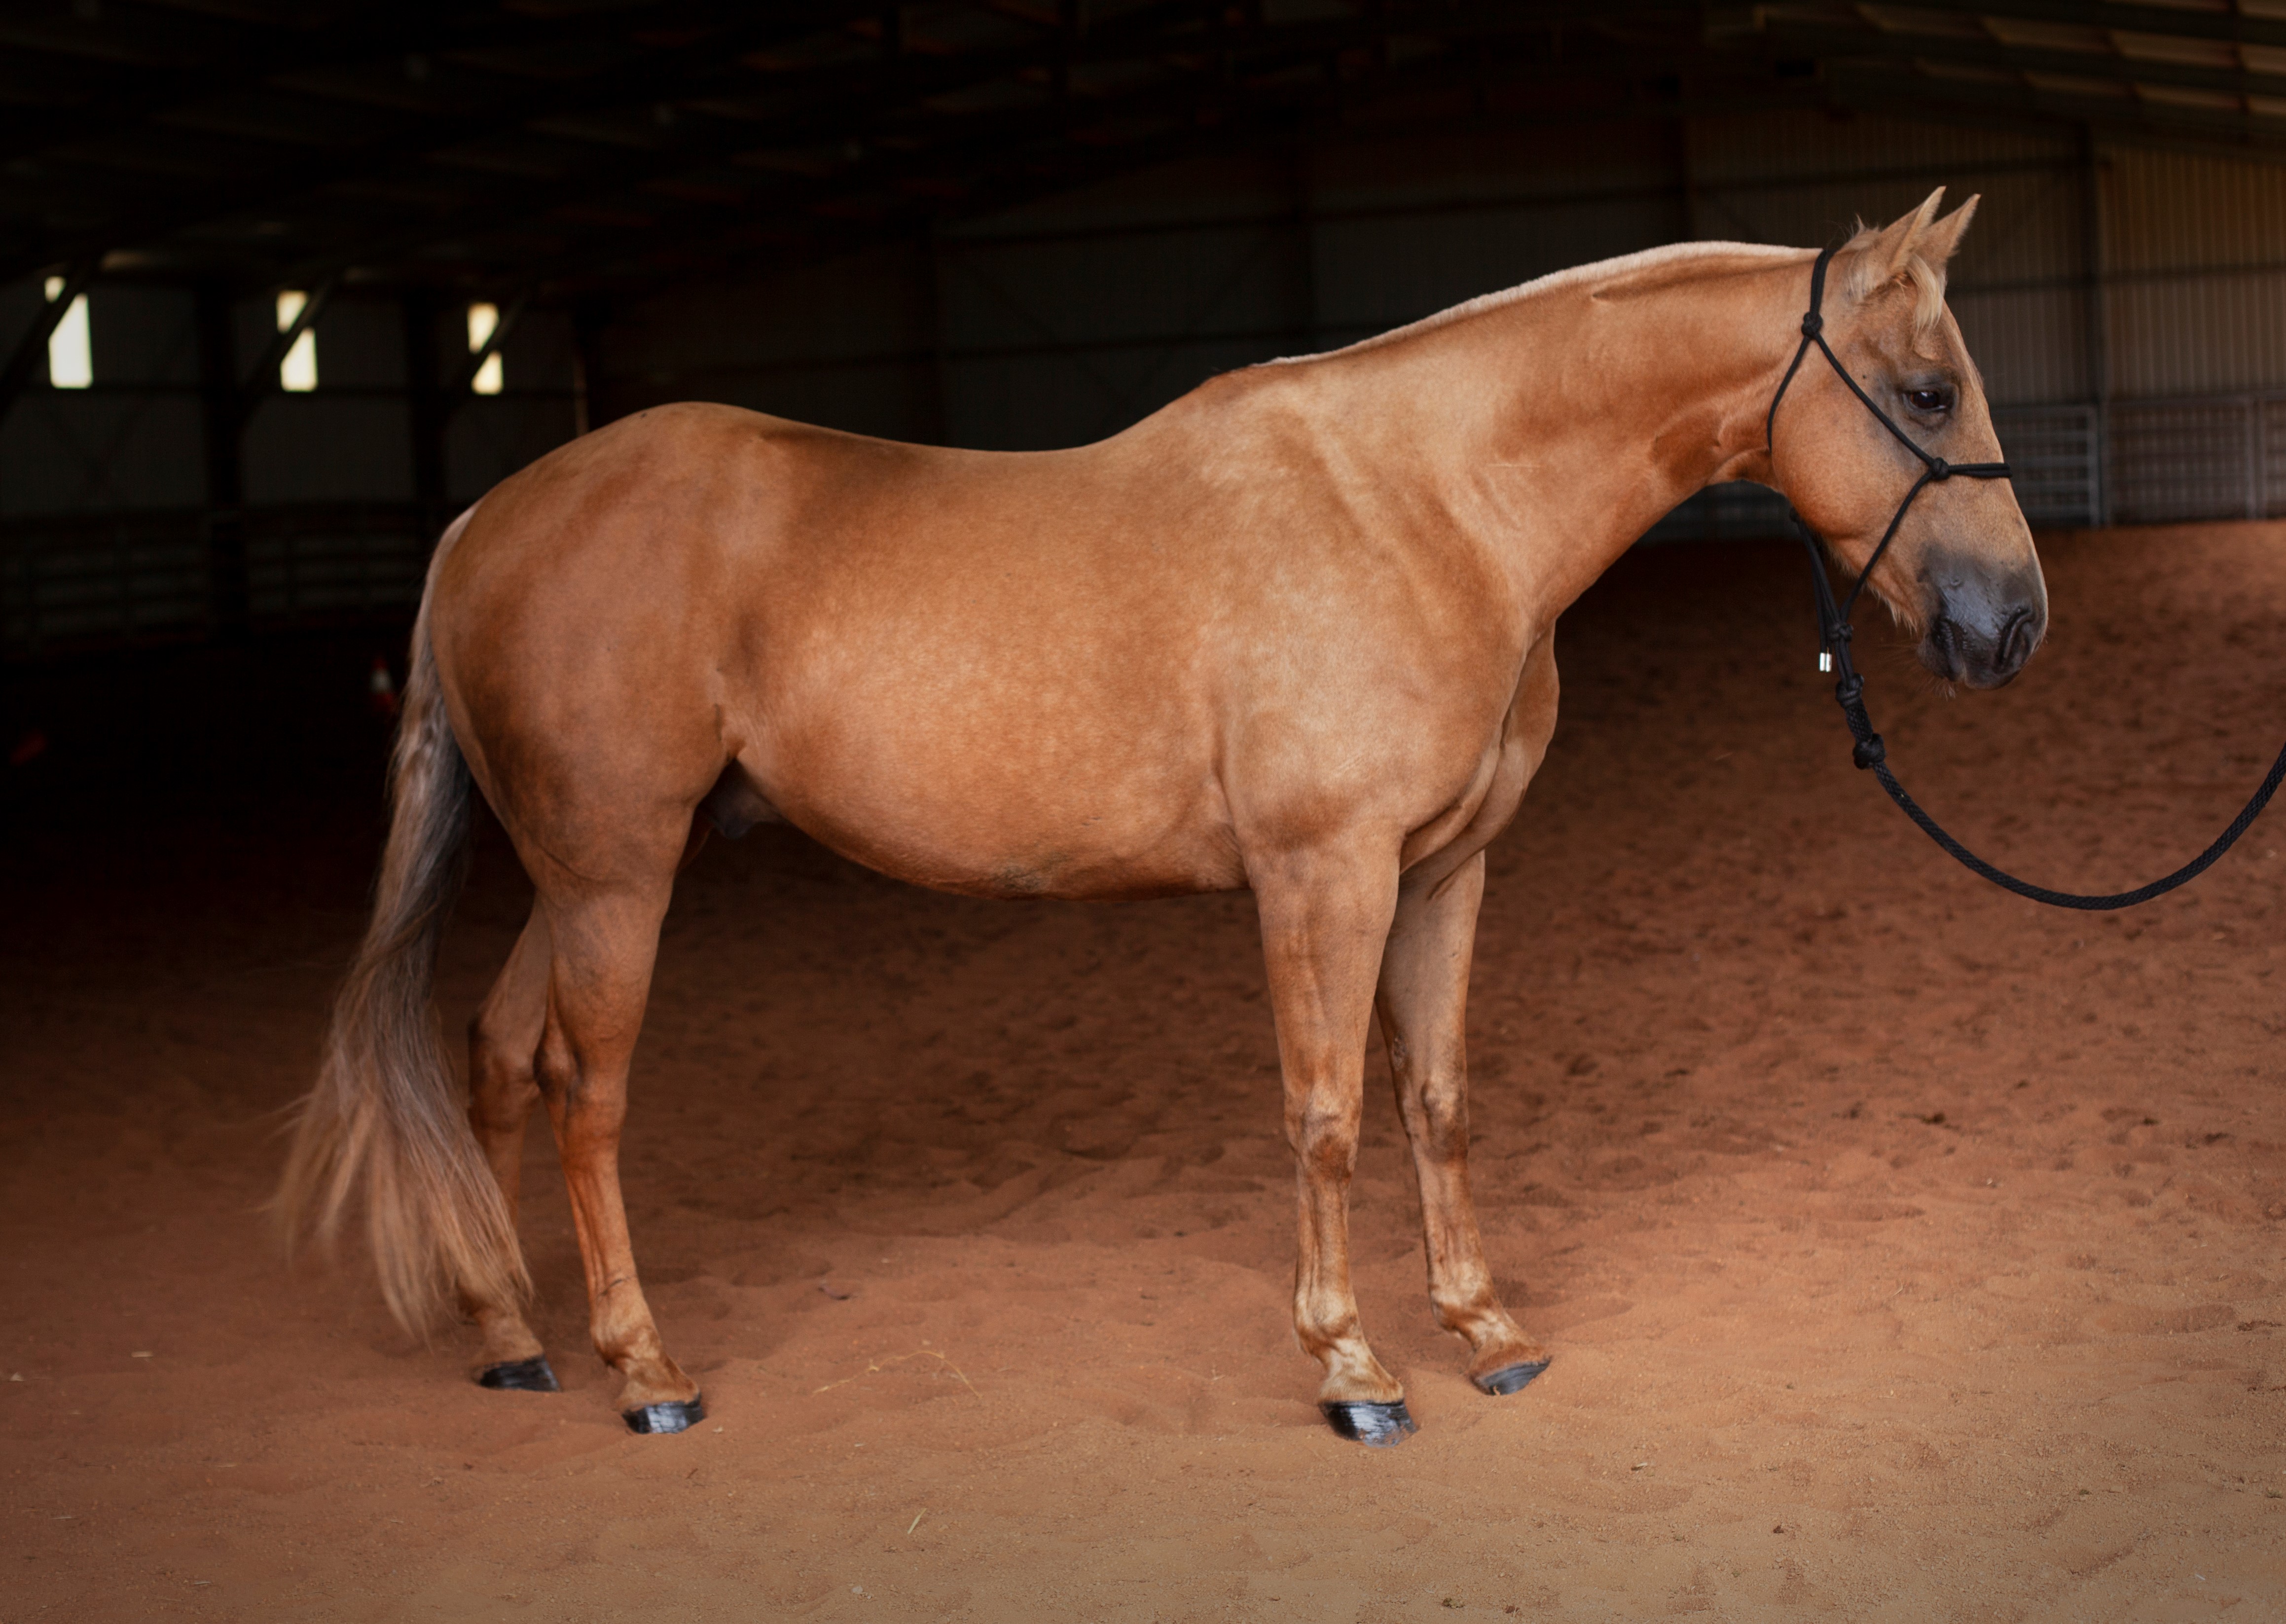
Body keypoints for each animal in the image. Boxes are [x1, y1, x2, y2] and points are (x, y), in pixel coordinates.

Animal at [278, 188, 2043, 1445]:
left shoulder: (1447, 872)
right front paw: (1353, 1365)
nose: (2012, 623)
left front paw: (1486, 1332)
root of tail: (485, 519)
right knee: (583, 1091)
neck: (1426, 502)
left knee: (497, 1055)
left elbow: (1435, 1101)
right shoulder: (1322, 876)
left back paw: (516, 1339)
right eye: (1927, 390)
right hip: (617, 876)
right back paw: (643, 1368)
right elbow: (1325, 1114)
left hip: (583, 873)